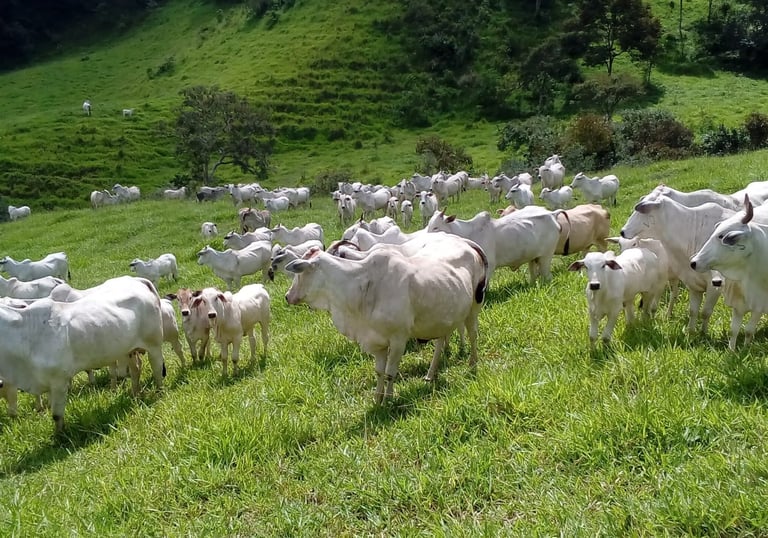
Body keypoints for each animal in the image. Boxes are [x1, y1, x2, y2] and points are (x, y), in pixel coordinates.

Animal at [0, 276, 165, 433]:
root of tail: (138, 280)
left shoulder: (59, 381)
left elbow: (56, 415)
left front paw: (60, 436)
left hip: (154, 345)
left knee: (157, 370)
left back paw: (159, 393)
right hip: (129, 350)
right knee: (136, 369)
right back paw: (135, 394)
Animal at [284, 235, 488, 404]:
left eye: (299, 272)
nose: (287, 296)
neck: (362, 286)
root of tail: (468, 244)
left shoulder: (398, 339)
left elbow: (390, 373)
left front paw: (388, 400)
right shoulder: (377, 342)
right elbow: (379, 372)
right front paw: (377, 399)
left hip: (473, 308)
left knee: (473, 335)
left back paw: (472, 364)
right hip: (442, 315)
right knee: (440, 342)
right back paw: (431, 374)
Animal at [426, 207, 560, 284]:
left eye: (436, 227)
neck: (468, 233)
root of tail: (552, 213)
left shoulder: (489, 265)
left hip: (546, 257)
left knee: (547, 276)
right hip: (533, 258)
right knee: (533, 274)